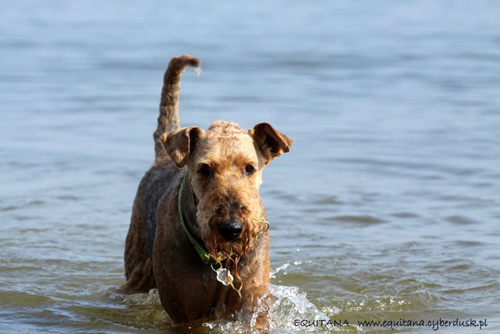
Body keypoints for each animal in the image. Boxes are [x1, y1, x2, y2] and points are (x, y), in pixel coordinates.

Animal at [122, 54, 292, 326]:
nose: (232, 228)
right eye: (204, 169)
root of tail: (162, 159)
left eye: (249, 168)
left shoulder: (252, 301)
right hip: (137, 268)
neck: (219, 261)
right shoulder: (185, 312)